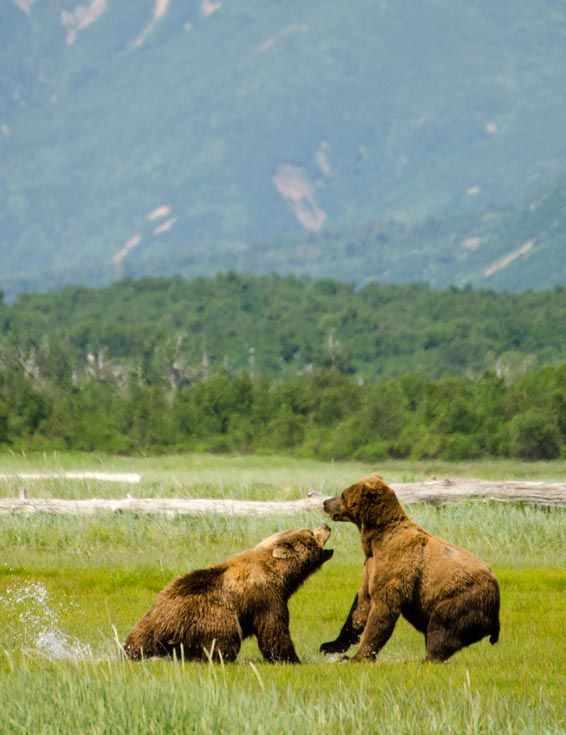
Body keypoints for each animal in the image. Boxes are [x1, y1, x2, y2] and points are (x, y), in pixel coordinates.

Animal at [124, 524, 333, 663]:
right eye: (309, 532)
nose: (326, 525)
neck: (283, 576)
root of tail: (162, 623)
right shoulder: (266, 596)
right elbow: (274, 629)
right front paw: (290, 658)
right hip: (209, 615)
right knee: (224, 639)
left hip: (147, 622)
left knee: (138, 642)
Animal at [320, 475, 500, 662]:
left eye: (342, 494)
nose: (325, 502)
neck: (375, 540)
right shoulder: (371, 564)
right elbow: (362, 603)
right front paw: (330, 645)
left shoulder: (396, 563)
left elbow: (382, 608)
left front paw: (358, 656)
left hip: (464, 598)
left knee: (441, 625)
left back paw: (426, 659)